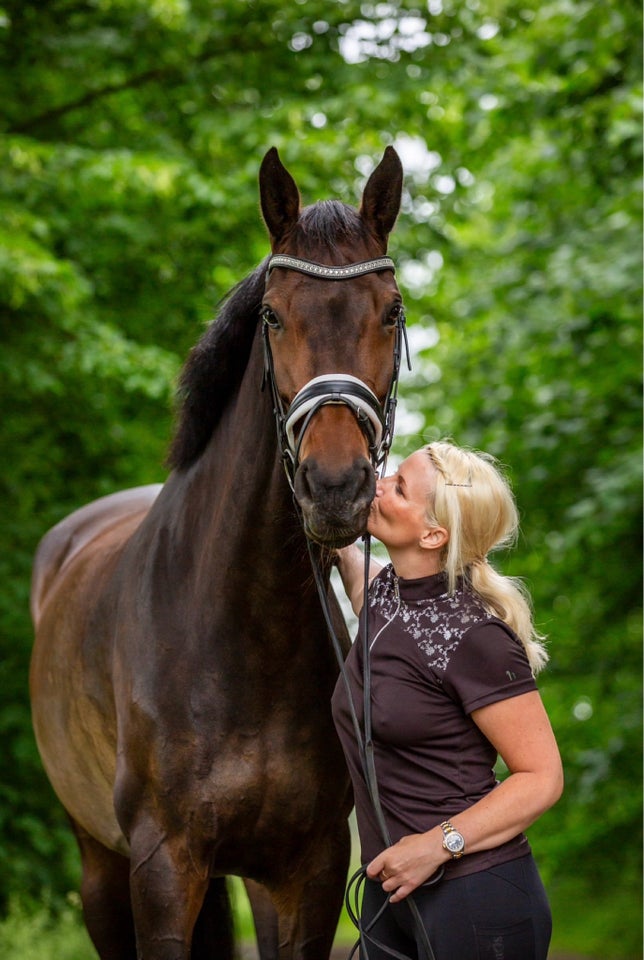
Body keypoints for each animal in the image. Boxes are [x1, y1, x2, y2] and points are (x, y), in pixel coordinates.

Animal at [30, 144, 406, 960]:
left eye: (392, 311)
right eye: (272, 314)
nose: (336, 486)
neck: (243, 633)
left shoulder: (308, 870)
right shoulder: (163, 868)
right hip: (100, 866)